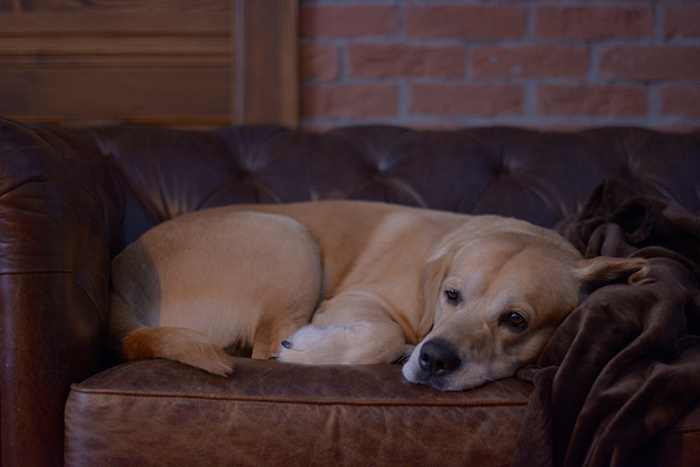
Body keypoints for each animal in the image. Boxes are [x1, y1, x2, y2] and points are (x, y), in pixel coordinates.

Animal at [109, 200, 652, 392]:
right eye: (451, 295)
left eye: (516, 320)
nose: (434, 359)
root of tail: (119, 283)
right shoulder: (357, 300)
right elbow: (385, 334)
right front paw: (310, 351)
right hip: (290, 237)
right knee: (265, 348)